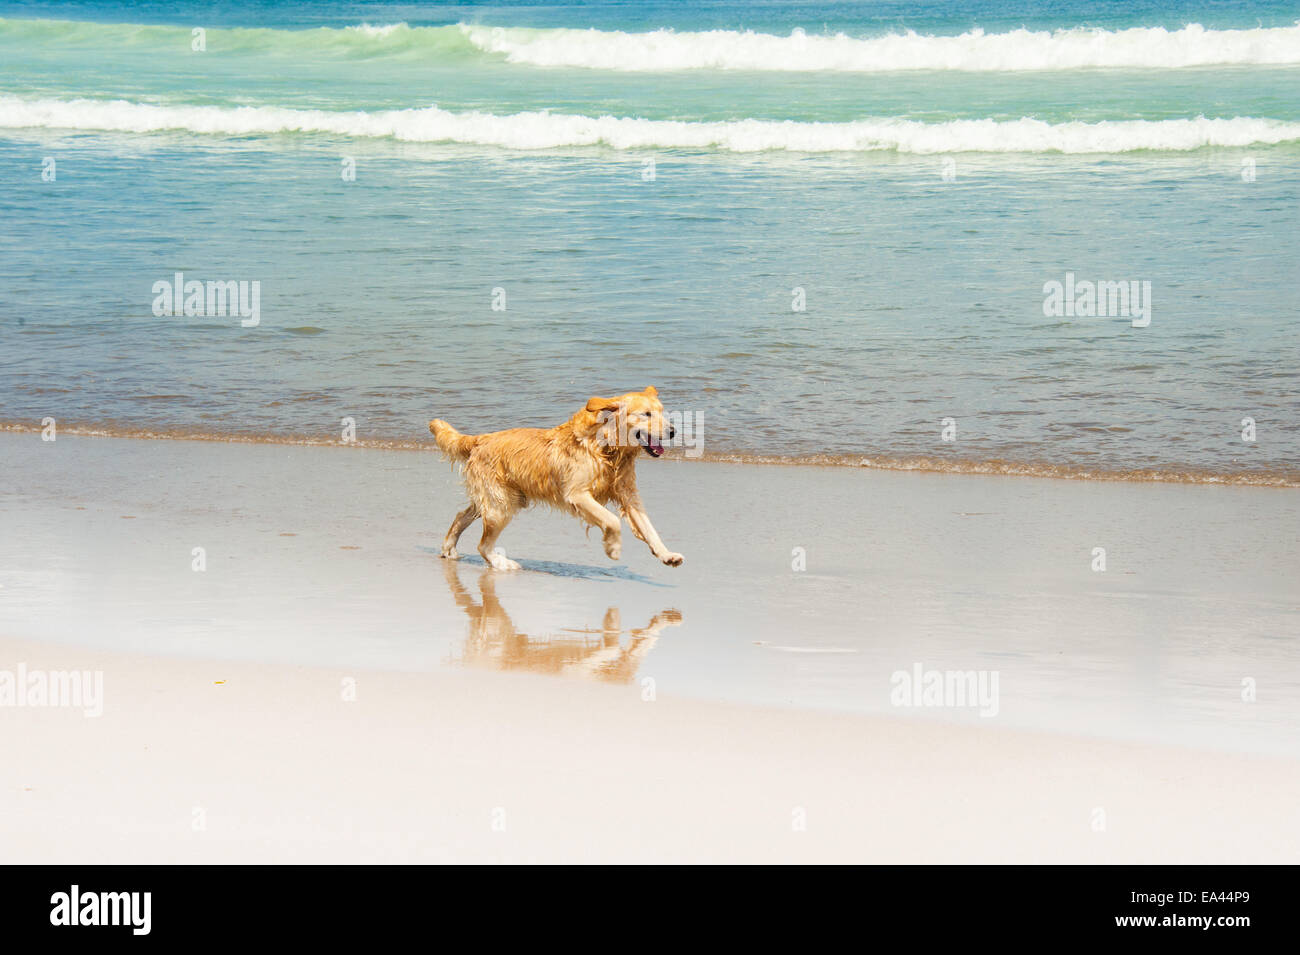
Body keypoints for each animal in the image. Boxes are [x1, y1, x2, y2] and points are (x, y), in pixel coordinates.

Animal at [431, 387, 686, 571]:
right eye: (646, 414)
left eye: (663, 412)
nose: (673, 431)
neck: (607, 449)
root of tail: (479, 438)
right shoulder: (577, 494)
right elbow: (612, 520)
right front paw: (613, 548)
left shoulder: (627, 494)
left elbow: (649, 527)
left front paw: (667, 554)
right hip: (501, 505)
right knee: (483, 545)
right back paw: (502, 563)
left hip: (498, 498)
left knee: (461, 516)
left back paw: (449, 549)